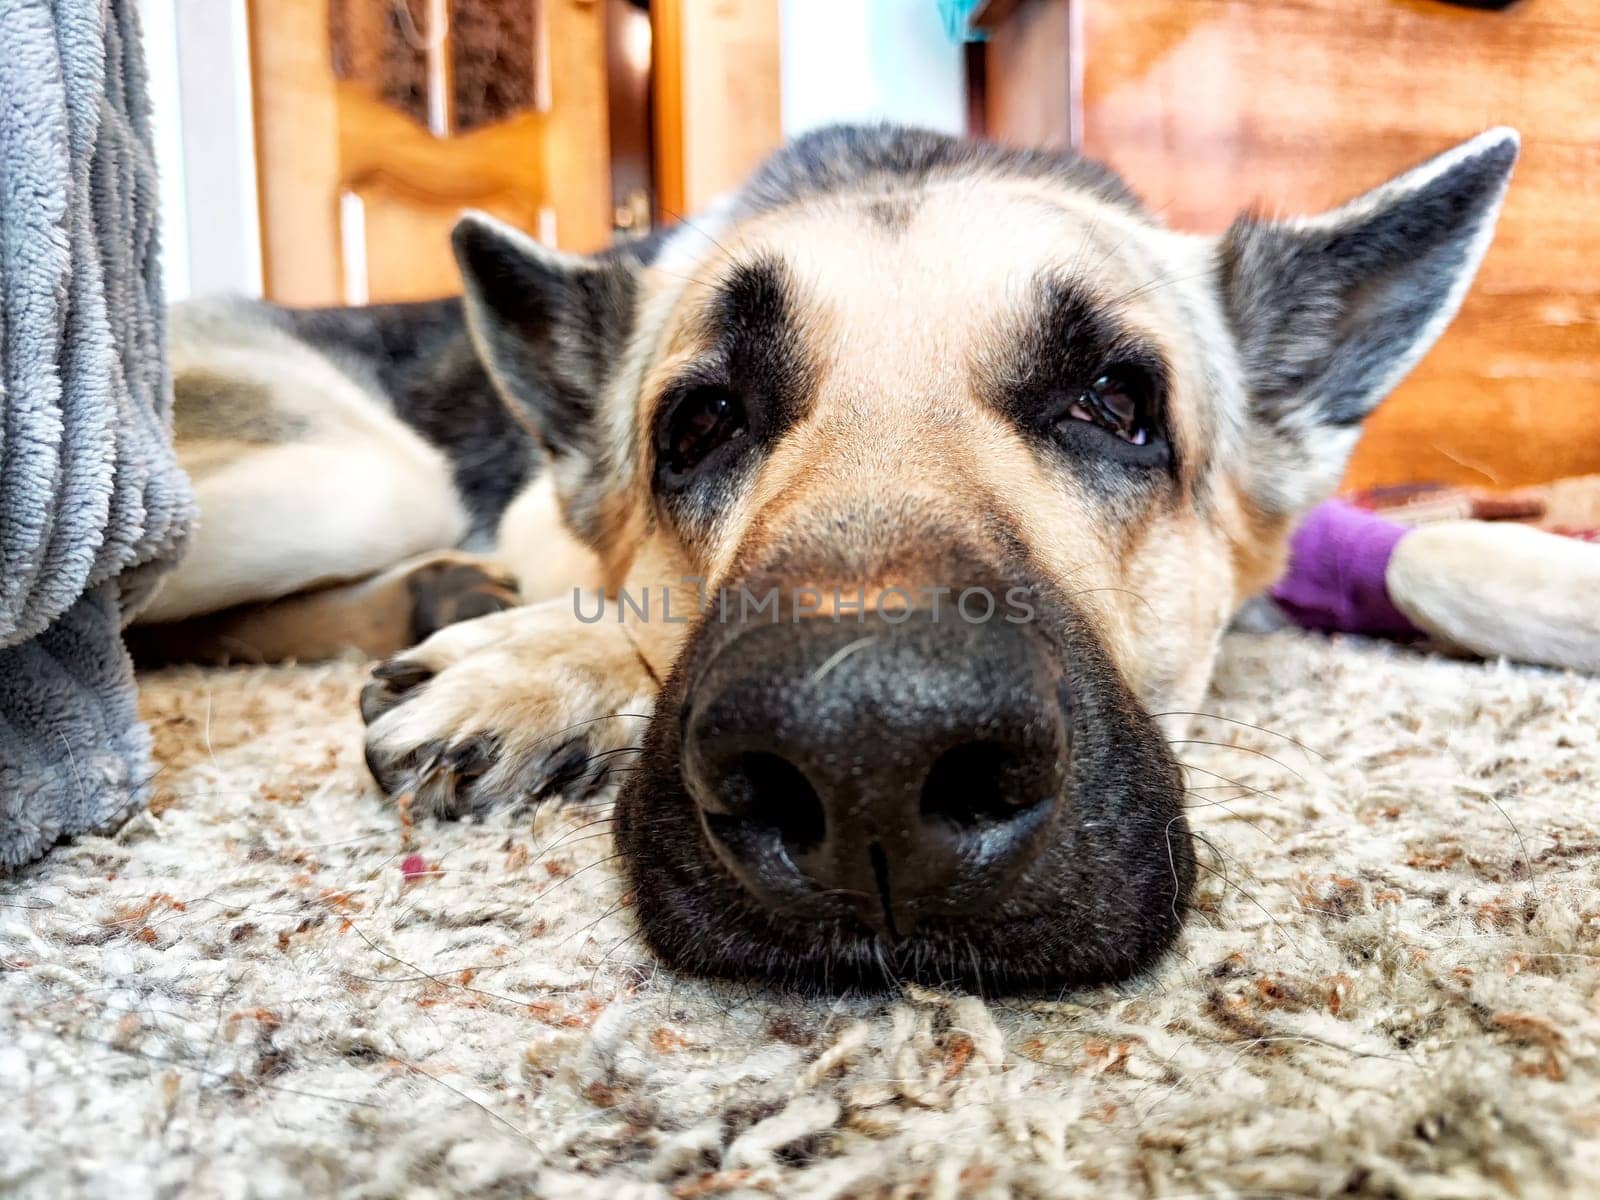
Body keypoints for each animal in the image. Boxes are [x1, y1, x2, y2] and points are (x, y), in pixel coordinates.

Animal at [131, 124, 1516, 998]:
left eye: (1116, 405)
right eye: (699, 424)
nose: (870, 767)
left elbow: (1443, 556)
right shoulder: (538, 510)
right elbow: (611, 600)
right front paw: (546, 662)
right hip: (356, 477)